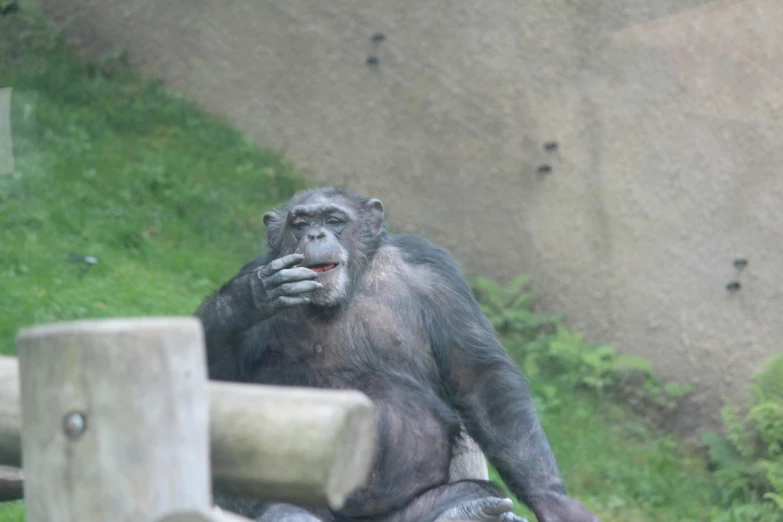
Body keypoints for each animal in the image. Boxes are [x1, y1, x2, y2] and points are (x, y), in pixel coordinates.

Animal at [196, 187, 600, 520]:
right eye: (300, 223)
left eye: (334, 221)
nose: (315, 235)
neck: (350, 286)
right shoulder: (256, 268)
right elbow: (222, 382)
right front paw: (248, 299)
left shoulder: (438, 275)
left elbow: (477, 377)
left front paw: (555, 502)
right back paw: (289, 513)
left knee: (468, 492)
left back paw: (469, 510)